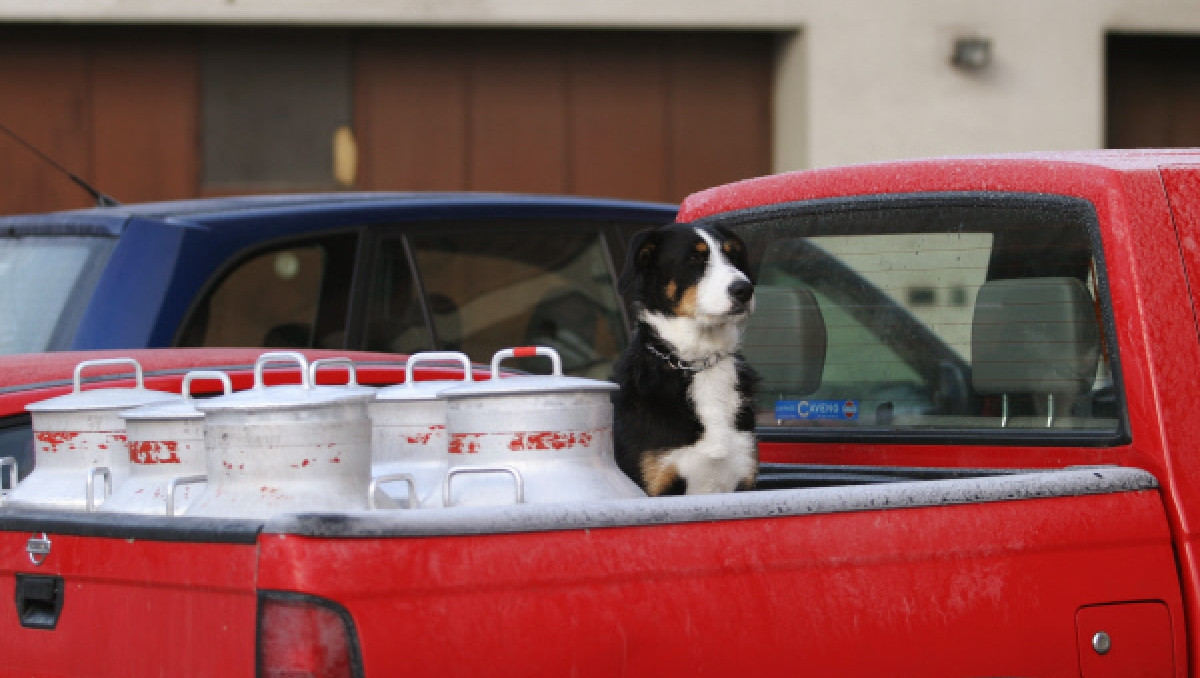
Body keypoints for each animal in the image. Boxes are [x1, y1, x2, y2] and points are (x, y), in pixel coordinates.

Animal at [614, 224, 753, 494]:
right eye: (694, 258)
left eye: (733, 255)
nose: (744, 289)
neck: (700, 361)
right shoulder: (657, 479)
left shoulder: (744, 476)